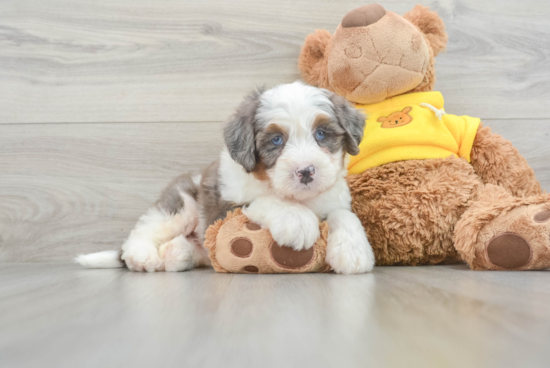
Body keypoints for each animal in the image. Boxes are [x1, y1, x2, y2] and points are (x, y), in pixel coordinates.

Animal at [77, 82, 378, 274]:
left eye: (321, 134)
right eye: (276, 140)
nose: (306, 171)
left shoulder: (334, 198)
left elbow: (345, 215)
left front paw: (353, 251)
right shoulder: (223, 208)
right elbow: (264, 201)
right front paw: (297, 220)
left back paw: (176, 253)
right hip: (182, 204)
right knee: (144, 231)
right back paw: (142, 256)